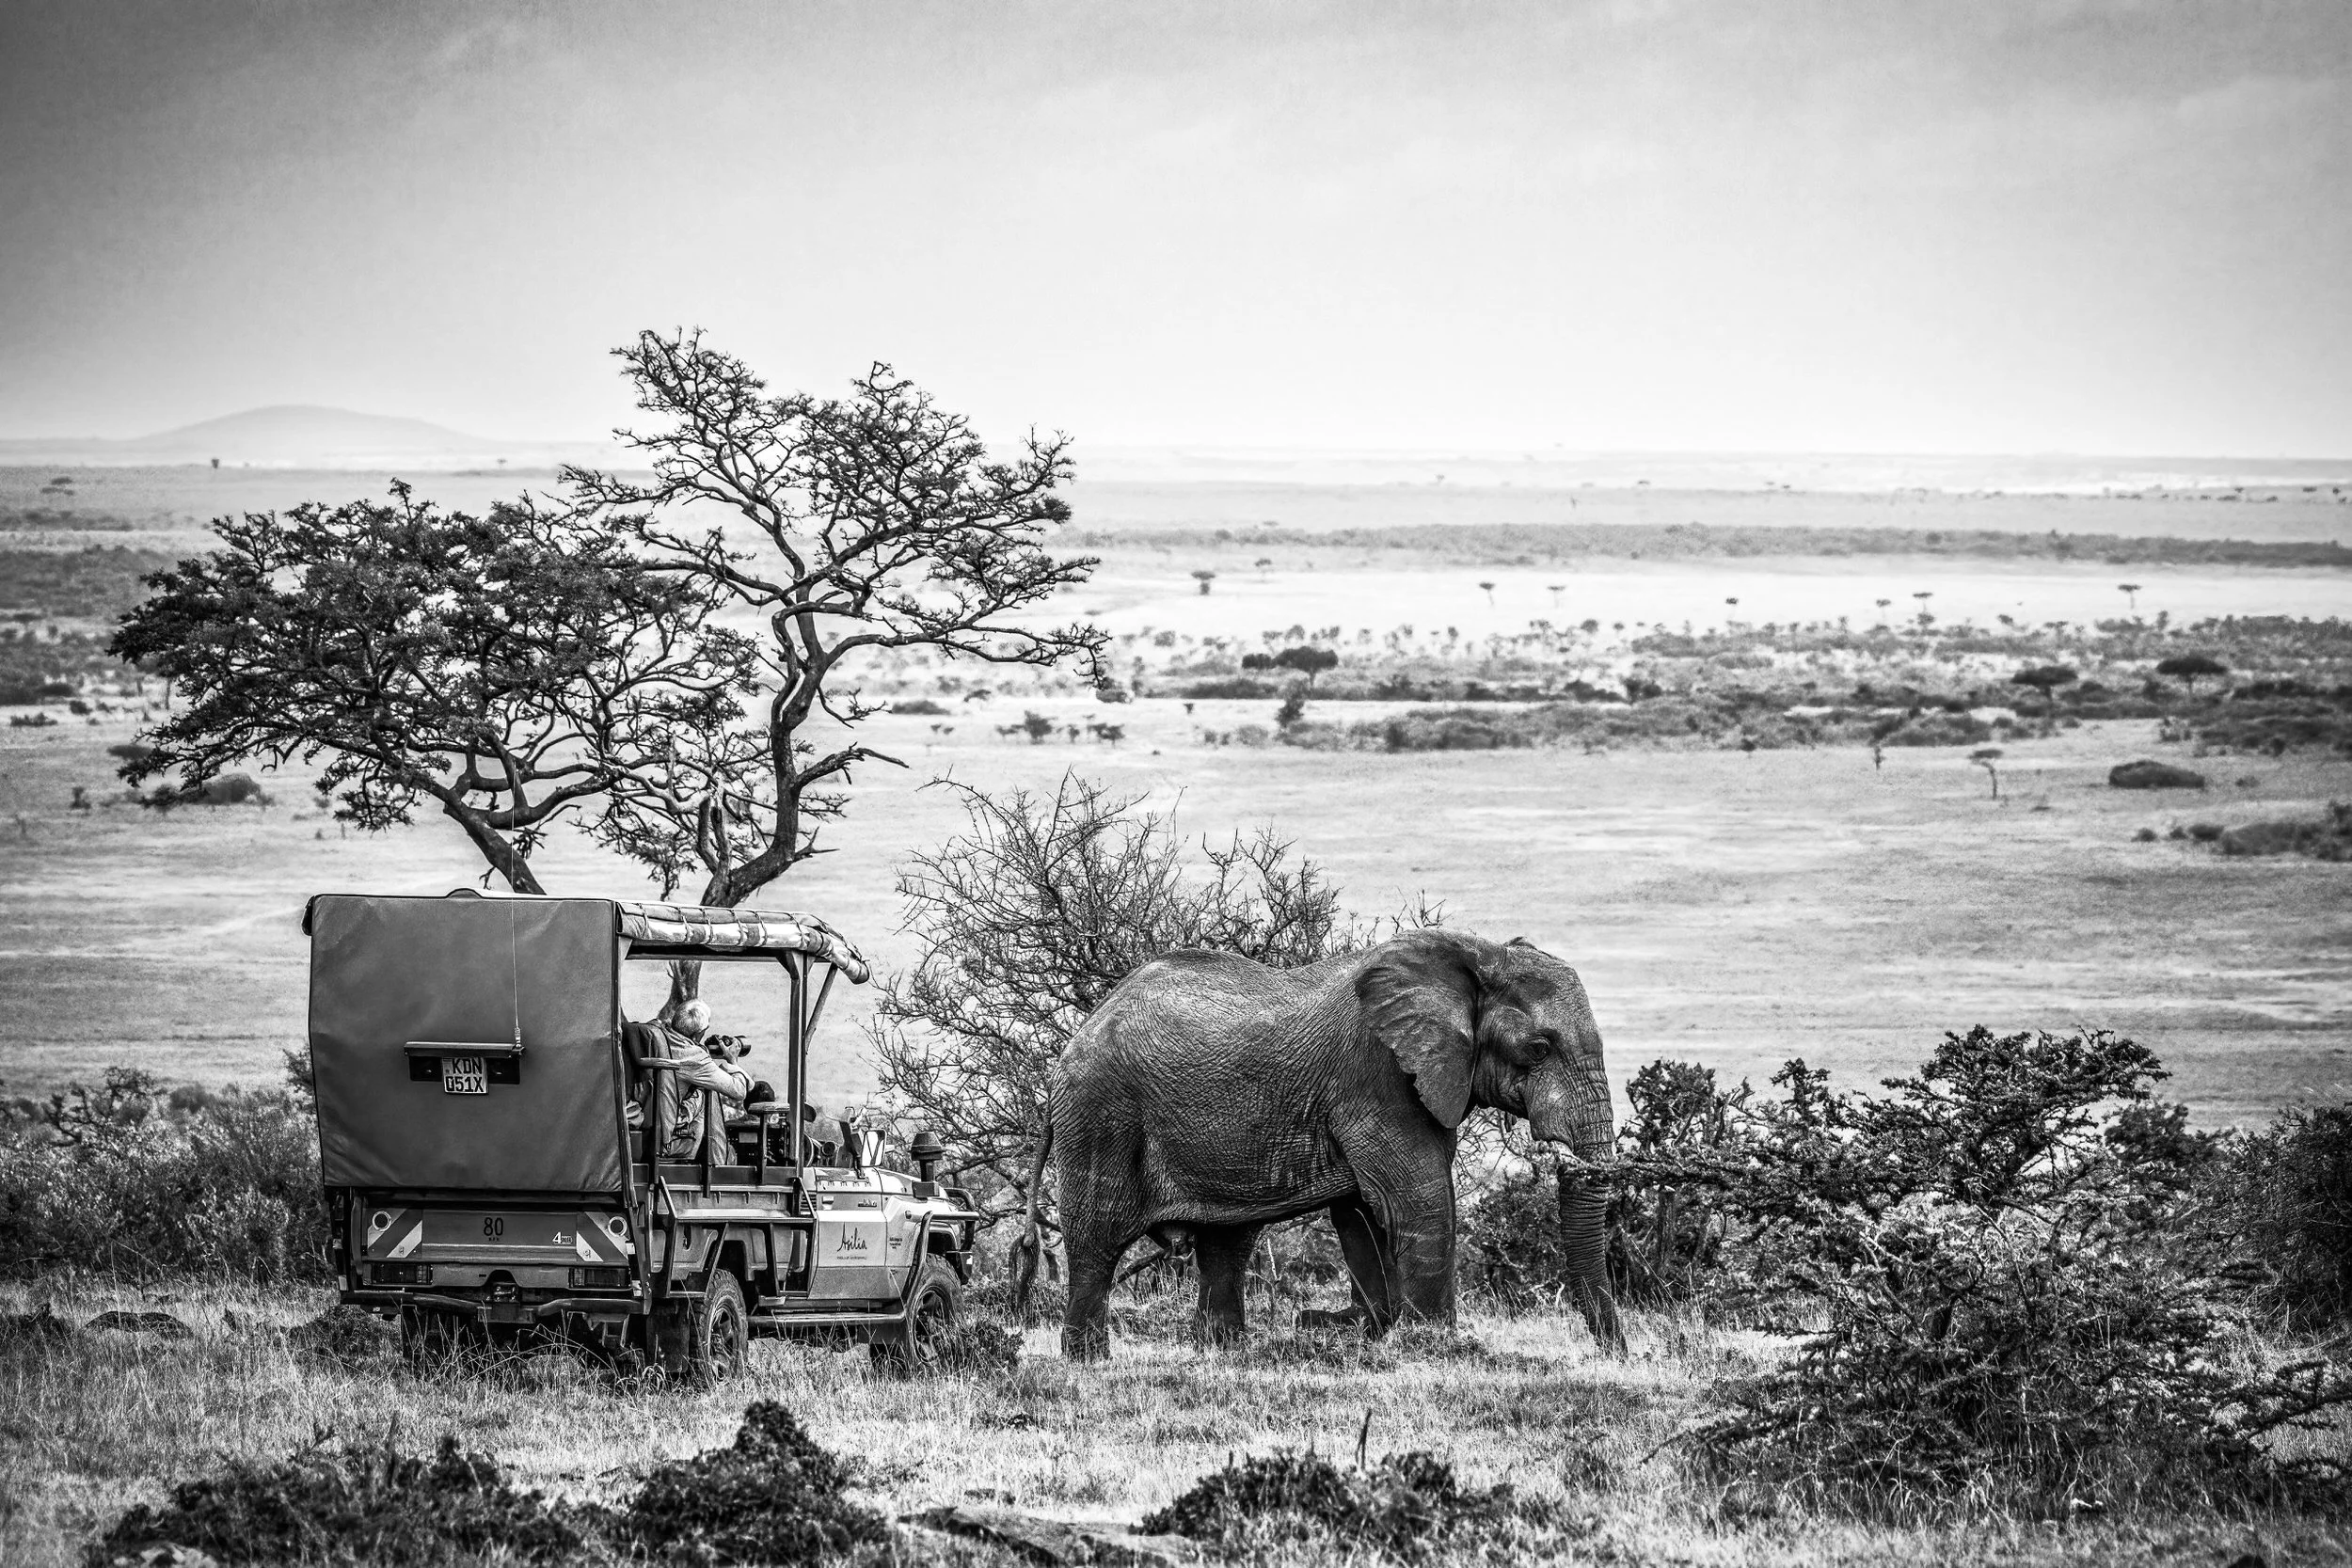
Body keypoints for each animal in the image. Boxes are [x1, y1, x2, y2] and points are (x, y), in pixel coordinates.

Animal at [1014, 928, 1622, 1359]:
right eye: (1539, 1048)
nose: (1612, 1349)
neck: (1474, 953)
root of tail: (1070, 1049)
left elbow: (1361, 1211)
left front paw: (1378, 1334)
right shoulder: (1374, 1076)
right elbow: (1418, 1201)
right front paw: (1435, 1350)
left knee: (1226, 1242)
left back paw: (1225, 1352)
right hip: (1100, 1117)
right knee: (1097, 1243)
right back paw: (1089, 1360)